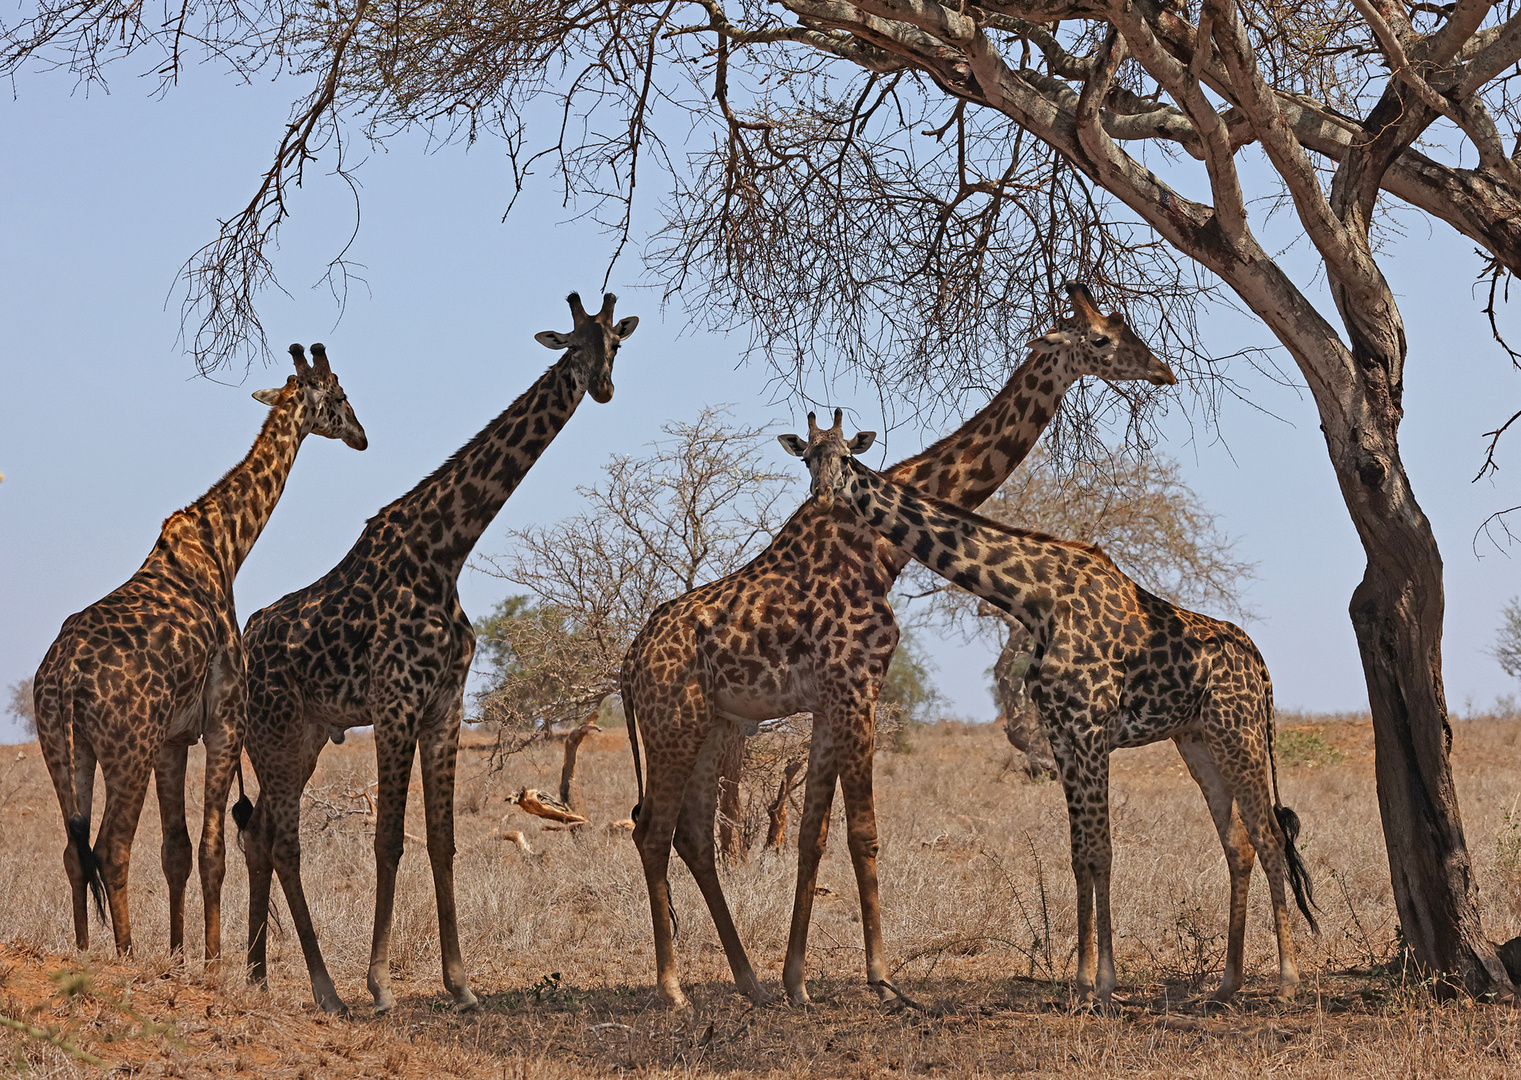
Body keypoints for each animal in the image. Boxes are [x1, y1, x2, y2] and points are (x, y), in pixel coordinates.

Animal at [33, 346, 368, 967]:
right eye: (338, 395)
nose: (362, 436)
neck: (227, 546)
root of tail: (62, 676)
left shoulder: (171, 739)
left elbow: (177, 850)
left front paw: (180, 954)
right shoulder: (223, 719)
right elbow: (213, 846)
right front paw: (212, 962)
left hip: (68, 748)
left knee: (75, 848)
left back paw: (85, 953)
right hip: (126, 747)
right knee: (110, 847)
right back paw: (125, 955)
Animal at [235, 290, 635, 1016]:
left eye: (614, 343)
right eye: (574, 344)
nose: (601, 386)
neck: (445, 550)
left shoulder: (444, 706)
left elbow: (444, 841)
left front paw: (461, 984)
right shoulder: (397, 704)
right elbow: (389, 840)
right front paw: (381, 986)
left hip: (303, 739)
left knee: (260, 837)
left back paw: (258, 976)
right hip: (271, 734)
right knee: (281, 841)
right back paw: (325, 987)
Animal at [620, 282, 1174, 1010]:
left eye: (1129, 327)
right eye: (1103, 340)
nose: (1162, 371)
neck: (879, 550)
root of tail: (629, 662)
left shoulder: (835, 694)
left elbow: (812, 834)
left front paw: (798, 982)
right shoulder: (857, 680)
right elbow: (864, 833)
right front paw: (882, 978)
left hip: (714, 723)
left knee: (690, 832)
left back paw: (750, 982)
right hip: (672, 724)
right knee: (651, 830)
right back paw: (671, 988)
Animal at [784, 413, 1320, 1003]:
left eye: (845, 458)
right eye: (807, 457)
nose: (822, 497)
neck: (1033, 598)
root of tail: (1260, 666)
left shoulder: (1089, 728)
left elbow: (1100, 850)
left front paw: (1103, 983)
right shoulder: (1062, 733)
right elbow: (1078, 853)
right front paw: (1084, 980)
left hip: (1237, 730)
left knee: (1270, 837)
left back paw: (1287, 982)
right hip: (1198, 739)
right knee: (1238, 844)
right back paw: (1227, 984)